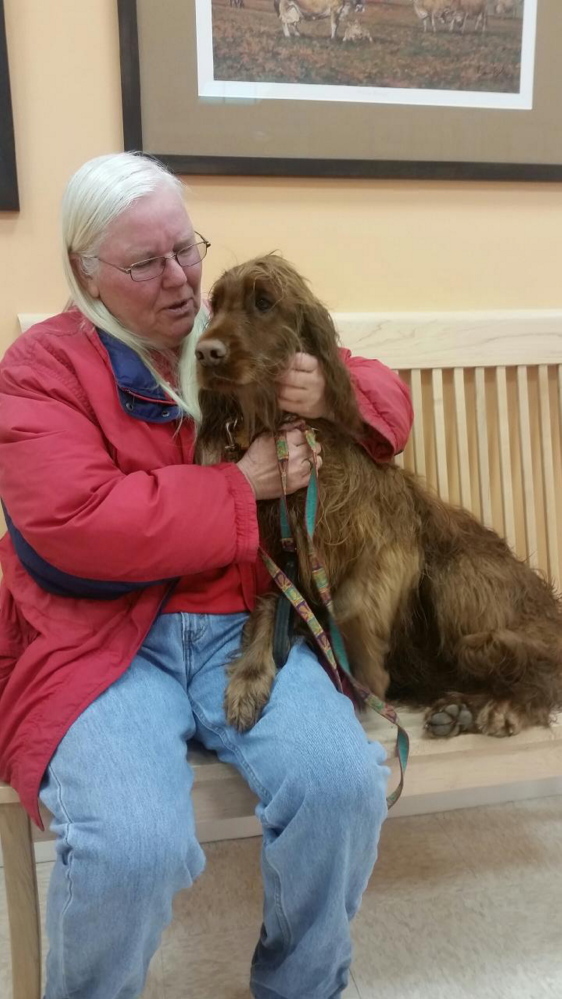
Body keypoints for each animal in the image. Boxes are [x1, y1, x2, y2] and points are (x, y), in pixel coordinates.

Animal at [194, 256, 560, 744]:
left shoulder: (394, 546)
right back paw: (460, 708)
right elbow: (271, 606)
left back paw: (506, 704)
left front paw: (363, 670)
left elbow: (350, 607)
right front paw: (248, 680)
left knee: (542, 665)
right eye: (216, 304)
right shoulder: (286, 564)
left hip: (457, 575)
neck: (291, 433)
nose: (206, 353)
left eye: (264, 302)